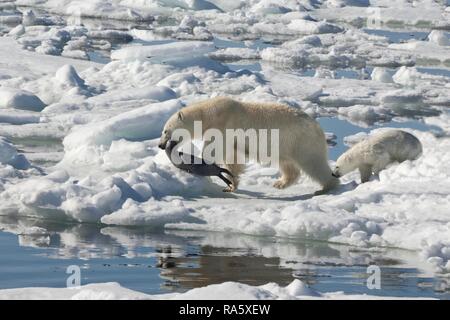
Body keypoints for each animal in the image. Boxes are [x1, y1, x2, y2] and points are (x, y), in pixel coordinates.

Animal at [158, 97, 338, 192]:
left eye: (165, 130)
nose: (160, 145)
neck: (209, 114)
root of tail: (318, 128)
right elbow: (233, 158)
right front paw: (232, 184)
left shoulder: (223, 126)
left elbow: (215, 149)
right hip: (286, 145)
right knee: (288, 165)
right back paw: (280, 183)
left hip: (301, 141)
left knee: (313, 164)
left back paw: (327, 187)